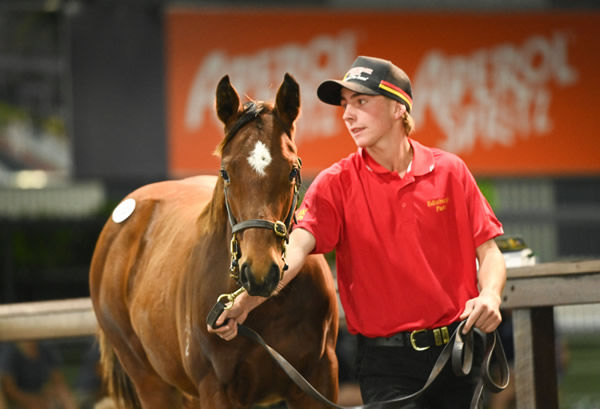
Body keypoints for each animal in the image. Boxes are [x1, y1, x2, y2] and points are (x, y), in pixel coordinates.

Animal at [91, 74, 340, 408]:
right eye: (225, 172)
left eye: (292, 170)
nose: (260, 273)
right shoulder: (216, 390)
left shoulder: (319, 379)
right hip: (151, 383)